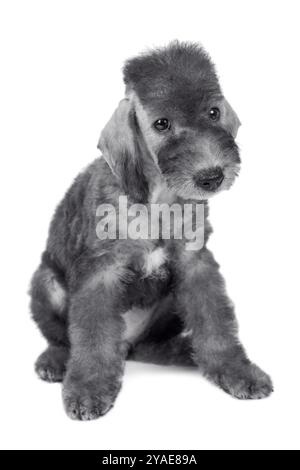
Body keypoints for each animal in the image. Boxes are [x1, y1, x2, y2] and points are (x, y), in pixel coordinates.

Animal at [29, 42, 274, 420]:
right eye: (162, 124)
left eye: (213, 112)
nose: (212, 177)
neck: (158, 200)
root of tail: (126, 344)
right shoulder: (99, 272)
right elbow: (92, 336)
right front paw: (87, 389)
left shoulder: (196, 264)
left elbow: (215, 321)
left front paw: (236, 370)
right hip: (46, 282)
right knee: (62, 335)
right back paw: (56, 360)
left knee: (149, 346)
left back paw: (185, 352)